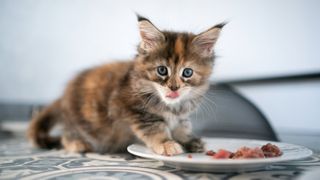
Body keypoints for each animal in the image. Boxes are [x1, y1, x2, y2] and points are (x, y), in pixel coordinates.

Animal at [27, 15, 224, 155]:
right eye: (162, 70)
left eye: (187, 73)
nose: (174, 87)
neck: (171, 107)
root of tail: (63, 96)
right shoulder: (135, 111)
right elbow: (156, 129)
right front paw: (166, 144)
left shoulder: (181, 116)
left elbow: (183, 127)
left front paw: (189, 140)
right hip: (79, 120)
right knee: (68, 135)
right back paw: (77, 144)